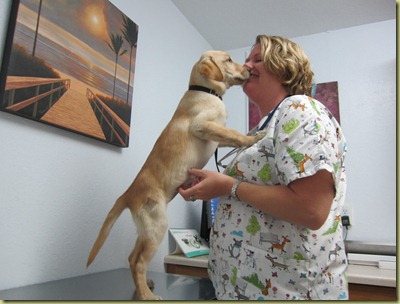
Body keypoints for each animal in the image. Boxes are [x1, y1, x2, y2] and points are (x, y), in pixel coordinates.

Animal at [86, 50, 264, 300]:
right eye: (229, 60)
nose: (249, 69)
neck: (206, 91)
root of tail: (128, 194)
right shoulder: (203, 125)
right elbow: (234, 133)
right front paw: (254, 137)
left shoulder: (216, 137)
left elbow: (229, 137)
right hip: (156, 225)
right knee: (138, 262)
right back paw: (147, 295)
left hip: (146, 228)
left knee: (132, 258)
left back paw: (144, 287)